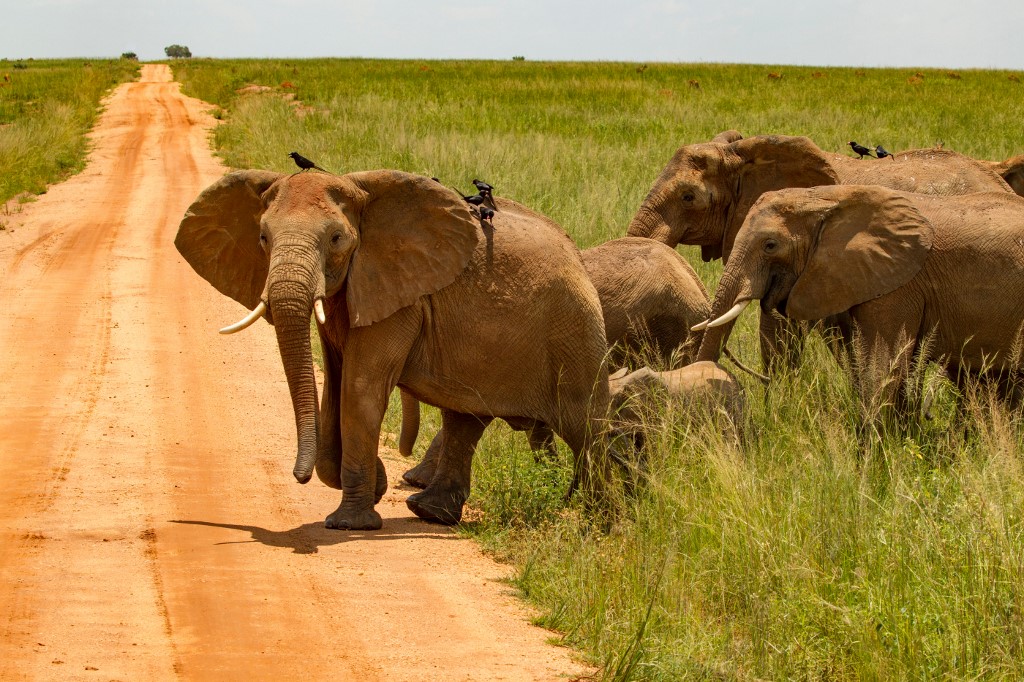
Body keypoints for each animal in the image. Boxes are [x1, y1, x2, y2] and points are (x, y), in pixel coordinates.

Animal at [176, 168, 610, 524]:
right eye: (263, 238)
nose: (297, 476)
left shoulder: (399, 298)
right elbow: (335, 387)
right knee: (466, 418)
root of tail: (575, 252)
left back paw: (602, 524)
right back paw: (430, 513)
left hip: (573, 330)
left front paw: (350, 522)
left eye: (336, 238)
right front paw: (376, 486)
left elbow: (358, 388)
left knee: (585, 425)